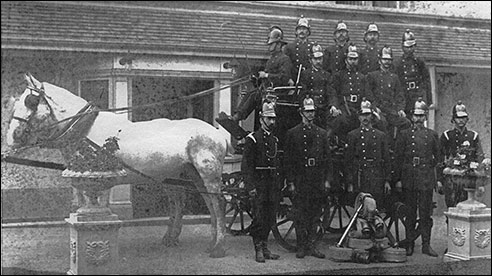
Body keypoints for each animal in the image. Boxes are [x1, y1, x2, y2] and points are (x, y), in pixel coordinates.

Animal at [6, 73, 229, 256]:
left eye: (30, 101)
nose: (11, 137)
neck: (85, 130)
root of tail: (218, 133)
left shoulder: (101, 176)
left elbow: (100, 207)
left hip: (207, 171)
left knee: (218, 202)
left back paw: (218, 246)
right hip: (181, 174)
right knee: (192, 202)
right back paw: (182, 239)